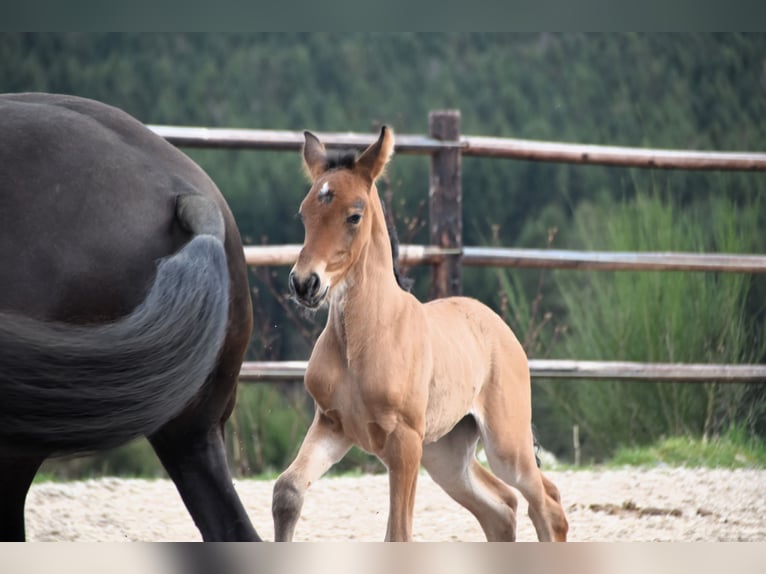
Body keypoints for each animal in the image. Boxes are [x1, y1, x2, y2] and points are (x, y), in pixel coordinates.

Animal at [272, 127, 568, 544]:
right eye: (304, 213)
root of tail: (499, 327)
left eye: (354, 215)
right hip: (446, 454)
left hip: (505, 444)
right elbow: (287, 491)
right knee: (502, 507)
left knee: (545, 503)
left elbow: (398, 533)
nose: (304, 284)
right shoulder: (332, 426)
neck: (363, 340)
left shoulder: (404, 441)